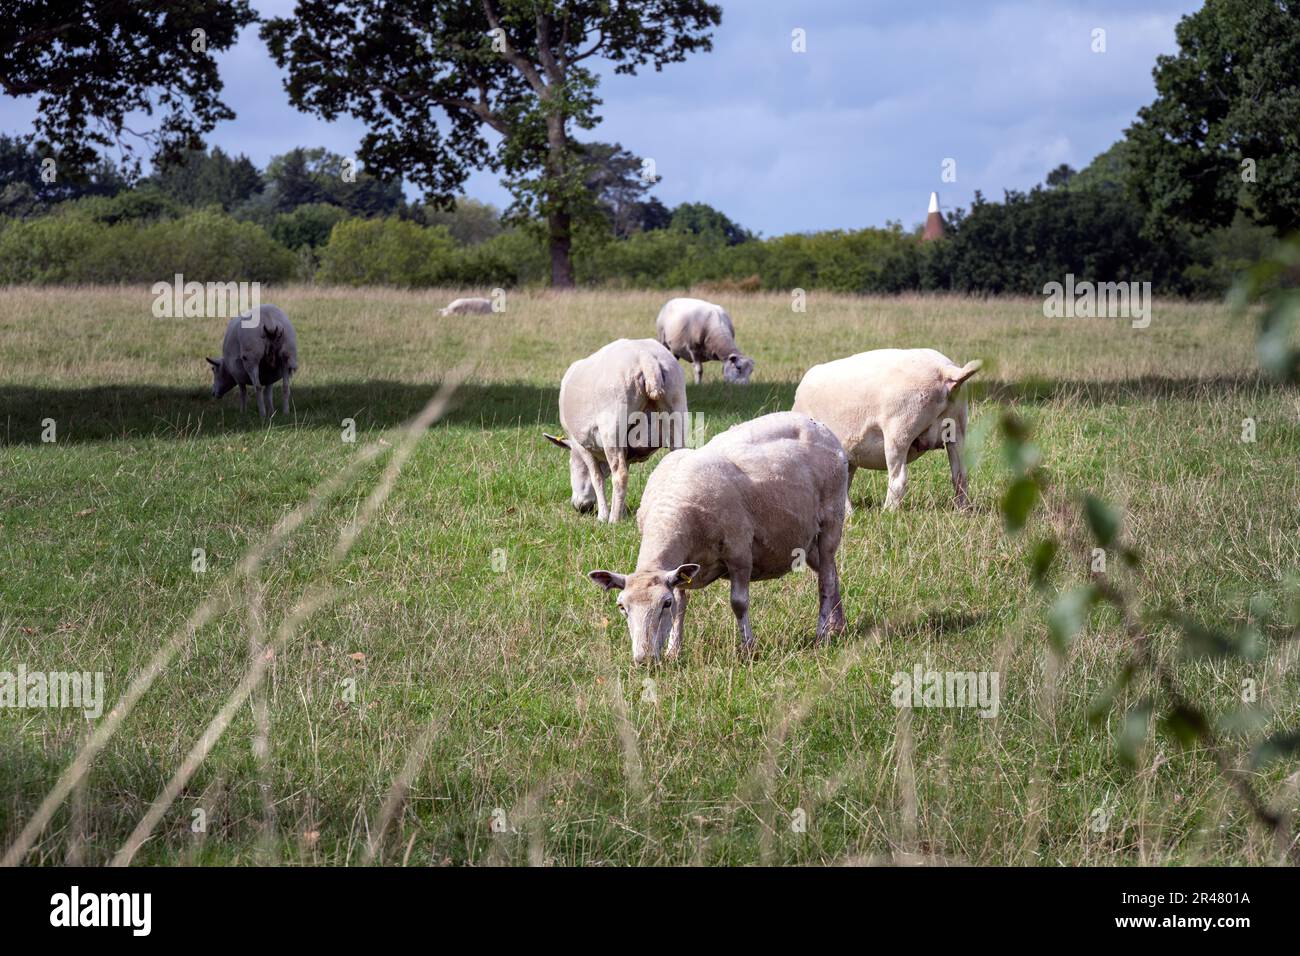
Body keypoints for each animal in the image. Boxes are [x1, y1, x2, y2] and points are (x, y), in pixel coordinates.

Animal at [543, 338, 691, 522]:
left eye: (570, 464)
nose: (582, 507)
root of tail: (646, 358)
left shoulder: (581, 445)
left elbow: (597, 477)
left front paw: (603, 516)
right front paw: (621, 512)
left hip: (612, 424)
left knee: (620, 475)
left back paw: (612, 520)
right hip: (677, 406)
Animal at [585, 411, 847, 665]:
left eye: (664, 603)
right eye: (622, 607)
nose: (644, 660)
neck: (672, 509)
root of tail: (819, 426)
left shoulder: (739, 552)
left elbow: (739, 603)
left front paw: (748, 649)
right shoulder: (681, 568)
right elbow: (682, 606)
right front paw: (673, 651)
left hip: (831, 521)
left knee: (825, 580)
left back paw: (822, 635)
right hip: (807, 540)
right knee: (832, 574)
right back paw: (838, 627)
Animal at [785, 348, 977, 512]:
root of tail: (946, 370)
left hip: (899, 430)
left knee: (898, 480)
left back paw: (887, 512)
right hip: (957, 428)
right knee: (960, 475)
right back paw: (962, 510)